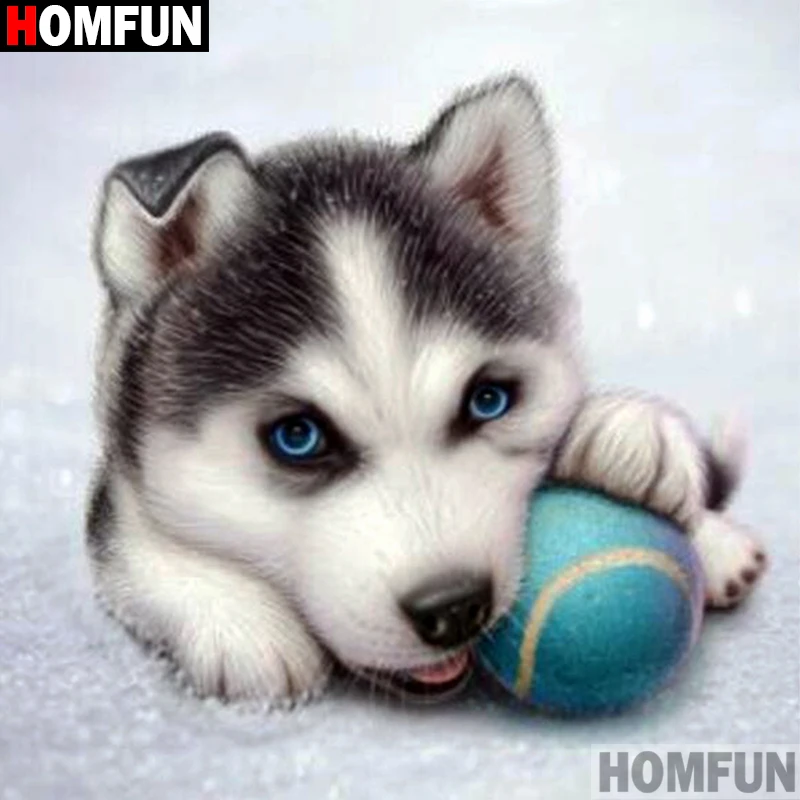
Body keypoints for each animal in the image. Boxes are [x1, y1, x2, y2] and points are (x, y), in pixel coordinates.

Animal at [87, 75, 766, 702]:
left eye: (488, 400)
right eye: (297, 437)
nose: (454, 608)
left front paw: (629, 430)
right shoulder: (115, 499)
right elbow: (132, 549)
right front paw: (242, 620)